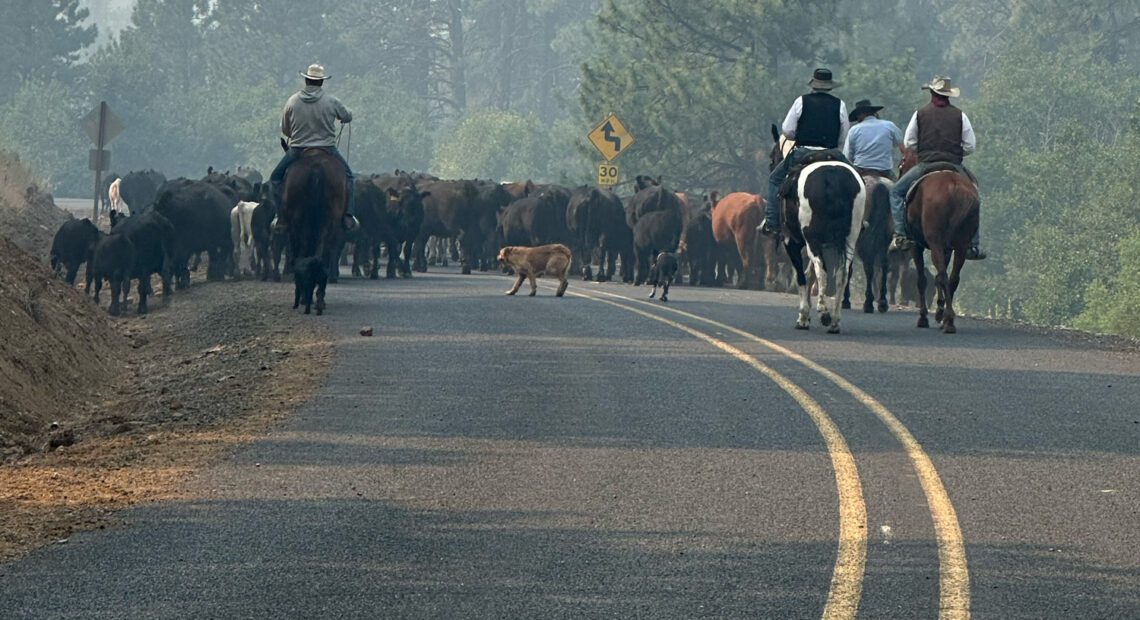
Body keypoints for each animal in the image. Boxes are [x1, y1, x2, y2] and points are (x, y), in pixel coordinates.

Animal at [279, 149, 344, 314]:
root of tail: (317, 170)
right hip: (329, 220)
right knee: (322, 253)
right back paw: (319, 299)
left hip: (299, 221)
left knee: (303, 249)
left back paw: (305, 297)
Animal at [898, 149, 980, 335]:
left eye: (901, 163)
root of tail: (955, 188)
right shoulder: (947, 249)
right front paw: (939, 311)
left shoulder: (917, 246)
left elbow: (922, 280)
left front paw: (923, 317)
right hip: (961, 247)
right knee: (952, 278)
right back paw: (947, 319)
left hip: (935, 244)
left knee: (942, 275)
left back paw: (948, 320)